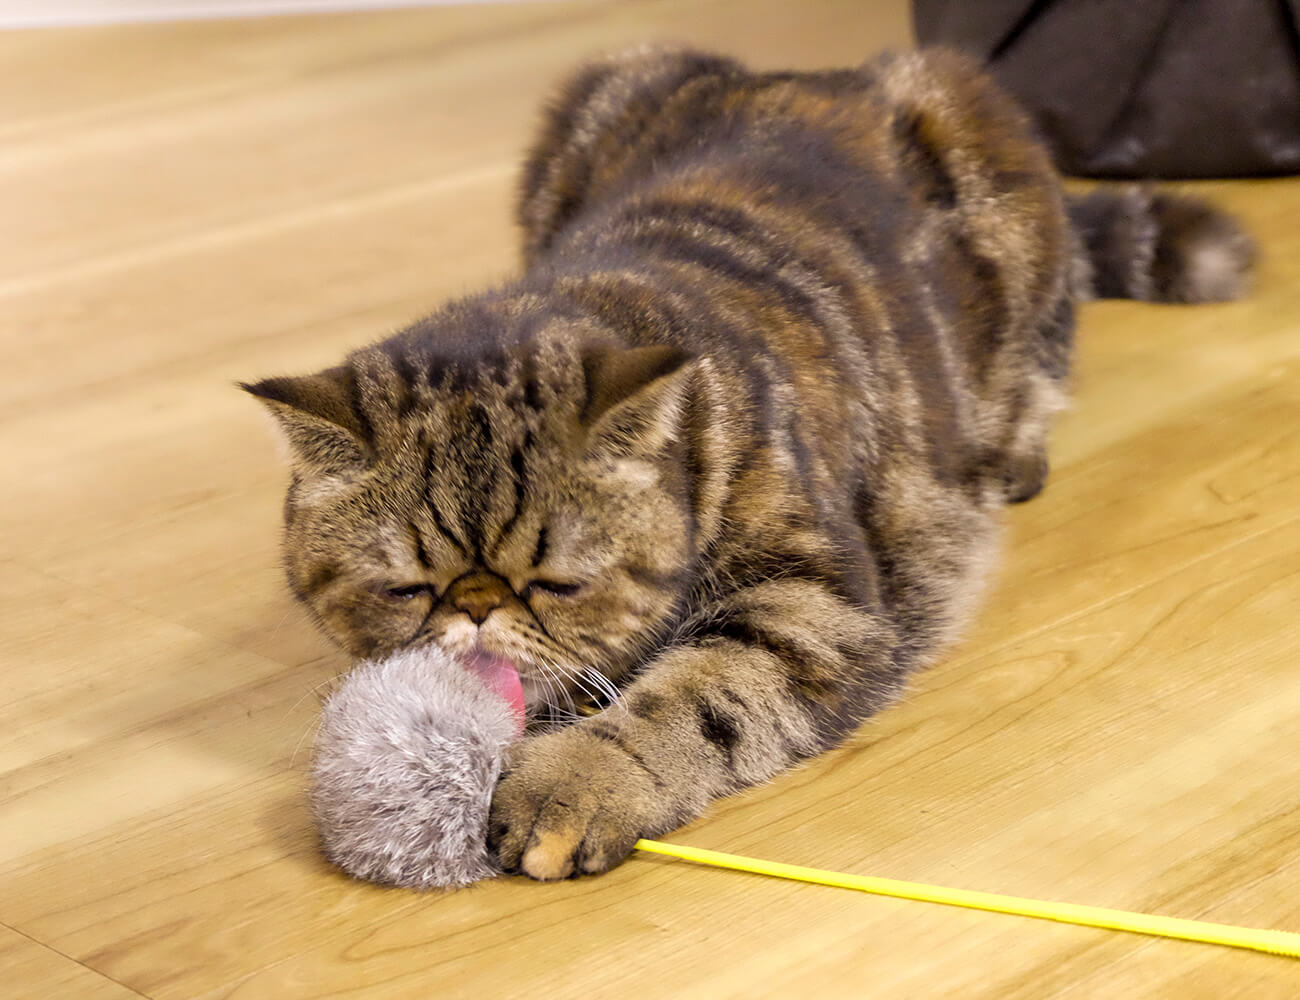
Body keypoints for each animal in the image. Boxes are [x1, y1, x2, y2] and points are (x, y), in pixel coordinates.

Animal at [241, 46, 1248, 879]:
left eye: (557, 584)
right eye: (408, 589)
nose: (478, 612)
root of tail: (812, 72)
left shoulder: (815, 599)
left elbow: (695, 696)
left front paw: (577, 779)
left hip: (992, 163)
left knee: (1047, 349)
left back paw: (1014, 452)